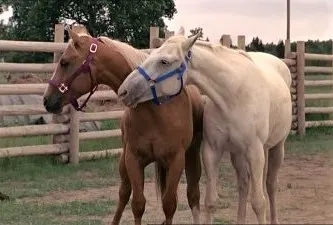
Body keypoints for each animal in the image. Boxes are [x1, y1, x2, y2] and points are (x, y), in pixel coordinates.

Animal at [42, 25, 204, 224]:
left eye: (64, 62)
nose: (46, 100)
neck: (157, 110)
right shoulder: (133, 159)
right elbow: (138, 203)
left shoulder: (176, 160)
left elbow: (169, 204)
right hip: (124, 163)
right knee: (124, 193)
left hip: (191, 157)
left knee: (192, 195)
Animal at [116, 26, 290, 223]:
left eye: (164, 61)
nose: (124, 91)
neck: (233, 96)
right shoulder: (211, 151)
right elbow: (211, 201)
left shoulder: (255, 152)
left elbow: (259, 203)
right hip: (237, 153)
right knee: (243, 185)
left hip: (277, 148)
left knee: (270, 185)